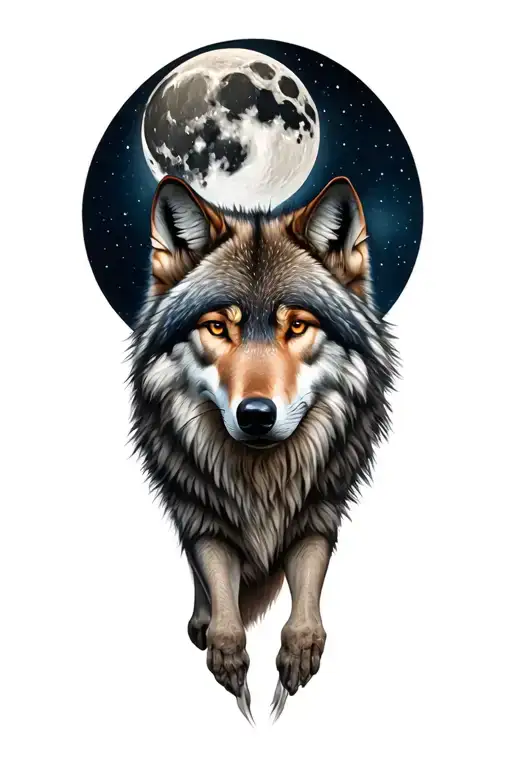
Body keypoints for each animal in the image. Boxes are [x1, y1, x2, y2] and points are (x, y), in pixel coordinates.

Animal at [129, 174, 398, 722]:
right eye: (217, 327)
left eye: (296, 325)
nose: (256, 415)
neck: (262, 478)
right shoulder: (203, 516)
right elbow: (219, 597)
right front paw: (229, 661)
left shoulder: (320, 508)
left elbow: (307, 596)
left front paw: (297, 657)